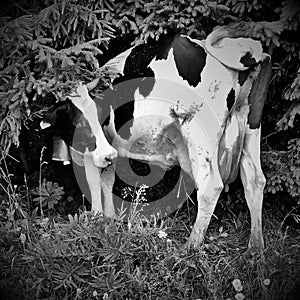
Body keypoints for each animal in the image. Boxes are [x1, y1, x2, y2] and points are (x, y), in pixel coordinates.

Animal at [41, 25, 274, 254]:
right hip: (250, 122)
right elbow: (107, 182)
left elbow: (94, 182)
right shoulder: (111, 149)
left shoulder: (95, 153)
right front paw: (109, 224)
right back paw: (255, 248)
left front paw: (96, 226)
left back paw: (190, 247)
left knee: (211, 186)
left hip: (198, 132)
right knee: (255, 180)